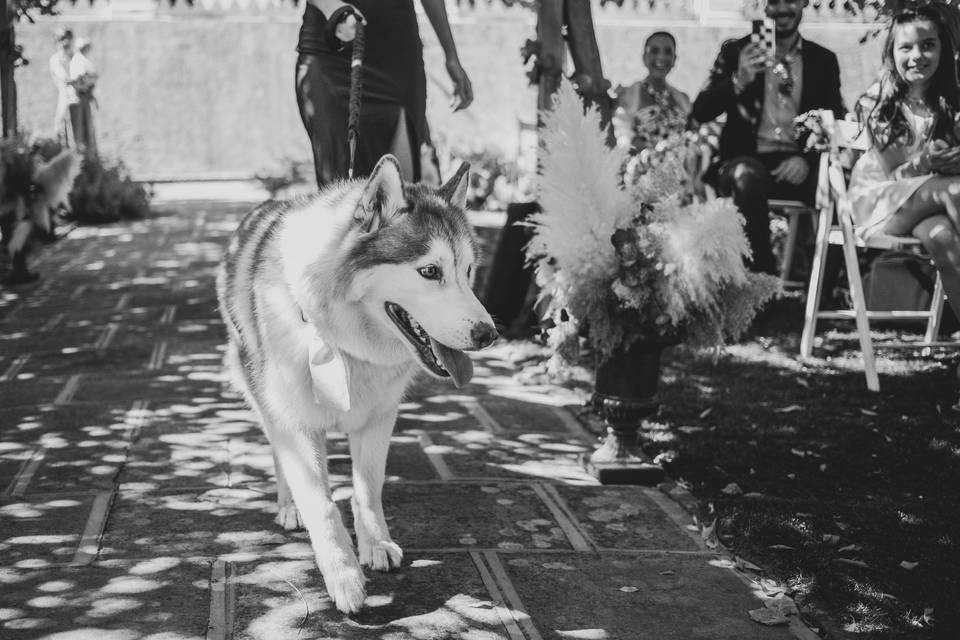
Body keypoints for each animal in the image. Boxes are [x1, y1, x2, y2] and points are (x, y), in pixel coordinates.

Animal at [215, 156, 498, 616]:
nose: (488, 334)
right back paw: (288, 506)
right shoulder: (296, 424)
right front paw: (343, 575)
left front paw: (375, 544)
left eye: (468, 271)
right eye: (430, 271)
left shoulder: (378, 420)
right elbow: (322, 505)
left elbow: (367, 490)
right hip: (260, 392)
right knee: (278, 453)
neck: (346, 343)